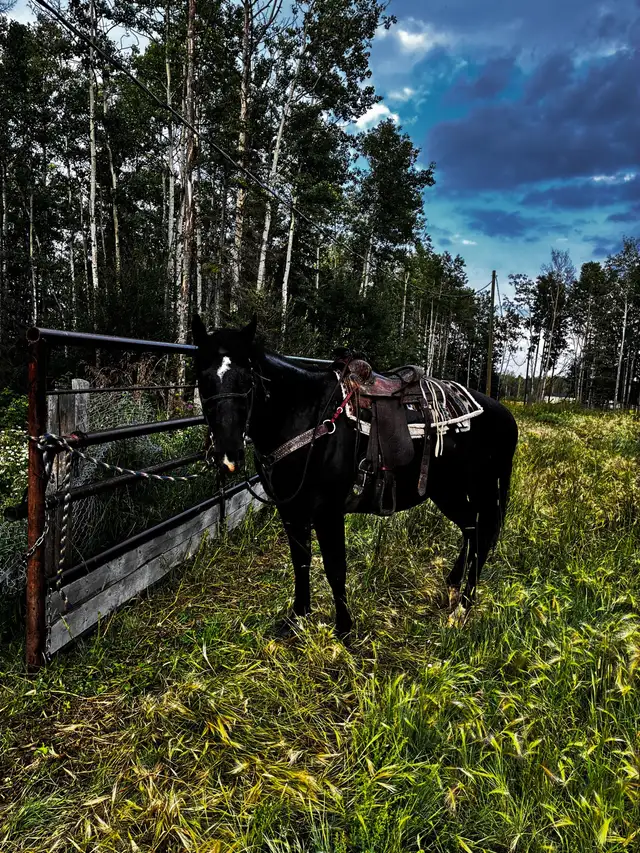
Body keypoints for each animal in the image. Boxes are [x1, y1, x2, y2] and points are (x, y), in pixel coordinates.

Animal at [192, 314, 518, 637]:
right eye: (202, 379)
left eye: (247, 380)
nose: (228, 456)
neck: (307, 417)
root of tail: (504, 414)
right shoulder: (292, 510)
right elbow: (301, 561)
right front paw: (297, 618)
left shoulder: (327, 512)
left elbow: (335, 569)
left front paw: (343, 630)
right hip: (447, 490)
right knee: (471, 529)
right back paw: (452, 587)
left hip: (481, 488)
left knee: (483, 534)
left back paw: (462, 608)